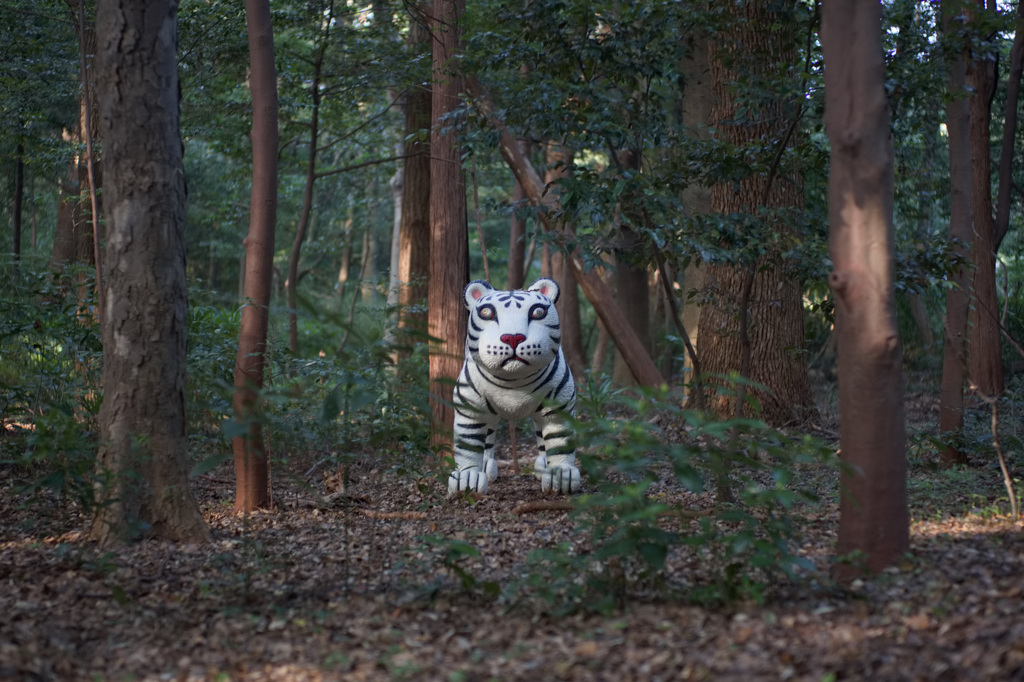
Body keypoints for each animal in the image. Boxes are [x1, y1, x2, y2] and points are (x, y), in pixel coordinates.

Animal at [448, 277, 581, 497]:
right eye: (487, 312)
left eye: (538, 312)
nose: (512, 337)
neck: (513, 379)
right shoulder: (471, 410)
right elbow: (469, 444)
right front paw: (468, 478)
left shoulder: (558, 409)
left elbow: (559, 441)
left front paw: (562, 476)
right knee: (488, 437)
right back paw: (487, 466)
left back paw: (543, 466)